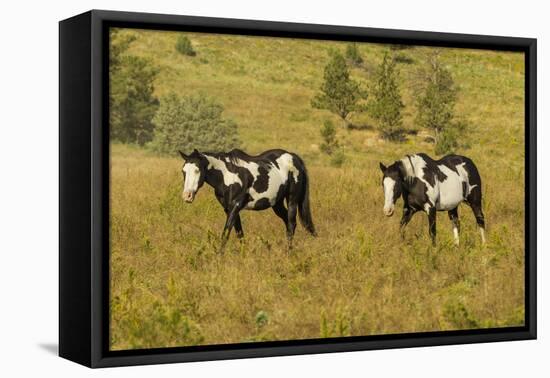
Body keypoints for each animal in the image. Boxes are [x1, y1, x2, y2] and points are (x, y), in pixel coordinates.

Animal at [180, 148, 316, 251]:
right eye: (183, 171)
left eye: (197, 170)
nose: (187, 196)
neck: (227, 175)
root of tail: (294, 158)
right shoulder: (229, 209)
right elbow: (239, 233)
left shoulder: (235, 206)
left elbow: (226, 233)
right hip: (276, 203)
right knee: (288, 223)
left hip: (292, 200)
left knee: (292, 223)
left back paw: (289, 252)